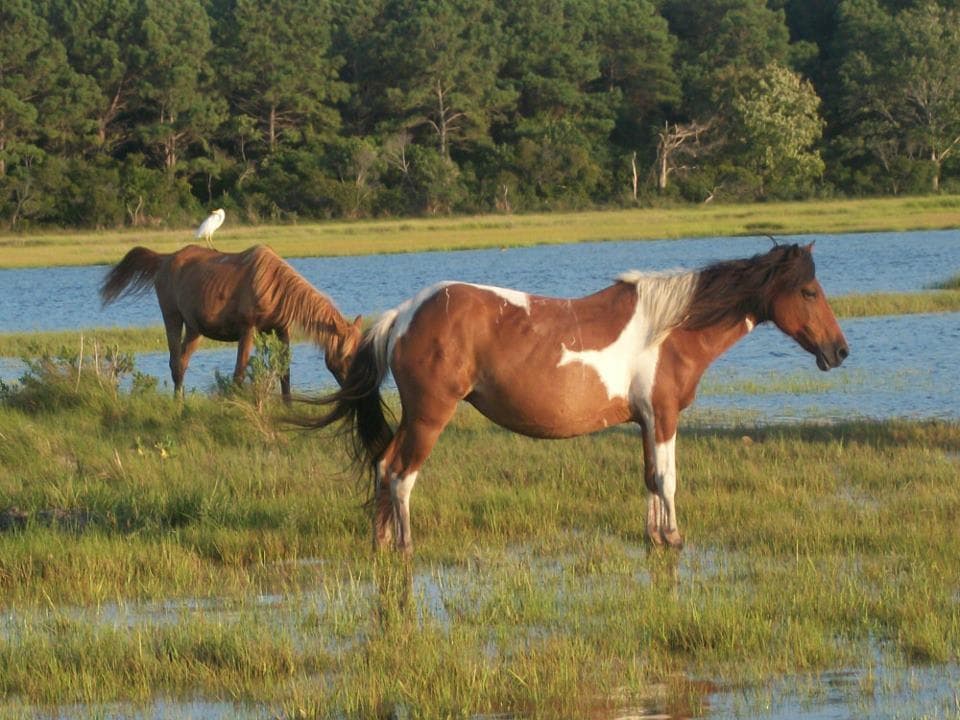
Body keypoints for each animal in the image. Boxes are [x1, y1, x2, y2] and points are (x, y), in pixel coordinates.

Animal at [100, 244, 362, 400]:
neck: (276, 288)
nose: (357, 391)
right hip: (172, 317)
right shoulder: (248, 330)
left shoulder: (281, 330)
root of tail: (164, 260)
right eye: (348, 356)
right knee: (175, 363)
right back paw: (177, 405)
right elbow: (238, 374)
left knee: (182, 363)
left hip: (194, 329)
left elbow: (285, 373)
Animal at [304, 242, 849, 555]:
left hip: (415, 418)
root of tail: (404, 315)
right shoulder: (664, 416)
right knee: (400, 475)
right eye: (808, 291)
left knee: (382, 466)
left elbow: (649, 478)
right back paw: (406, 545)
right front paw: (674, 537)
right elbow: (668, 479)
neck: (669, 330)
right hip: (429, 418)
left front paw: (654, 537)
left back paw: (380, 543)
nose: (838, 350)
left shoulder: (646, 421)